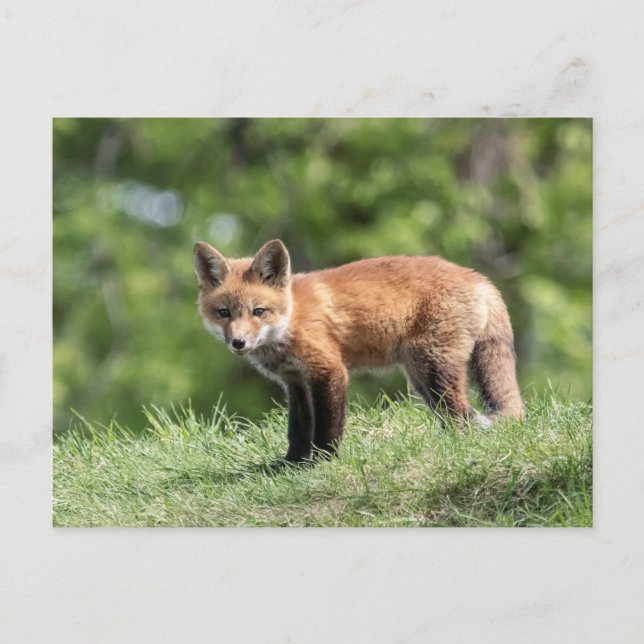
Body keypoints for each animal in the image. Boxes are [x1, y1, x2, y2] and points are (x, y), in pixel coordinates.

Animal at [193, 239, 525, 463]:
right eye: (224, 313)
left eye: (258, 311)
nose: (238, 343)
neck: (291, 319)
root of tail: (480, 278)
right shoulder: (295, 381)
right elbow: (297, 428)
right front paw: (291, 464)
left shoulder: (329, 370)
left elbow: (327, 426)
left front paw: (323, 462)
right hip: (420, 376)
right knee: (455, 414)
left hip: (432, 367)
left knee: (461, 415)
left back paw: (452, 446)